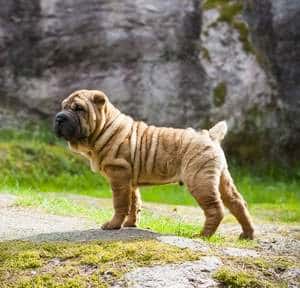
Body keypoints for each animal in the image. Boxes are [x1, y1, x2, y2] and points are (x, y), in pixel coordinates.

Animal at [53, 90, 253, 238]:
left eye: (79, 109)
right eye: (63, 107)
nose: (59, 118)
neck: (105, 129)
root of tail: (210, 135)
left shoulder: (118, 175)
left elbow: (120, 203)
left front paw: (113, 225)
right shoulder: (129, 179)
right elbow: (134, 203)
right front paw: (130, 224)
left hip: (199, 179)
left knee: (215, 209)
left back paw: (203, 235)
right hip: (222, 178)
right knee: (237, 203)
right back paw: (247, 235)